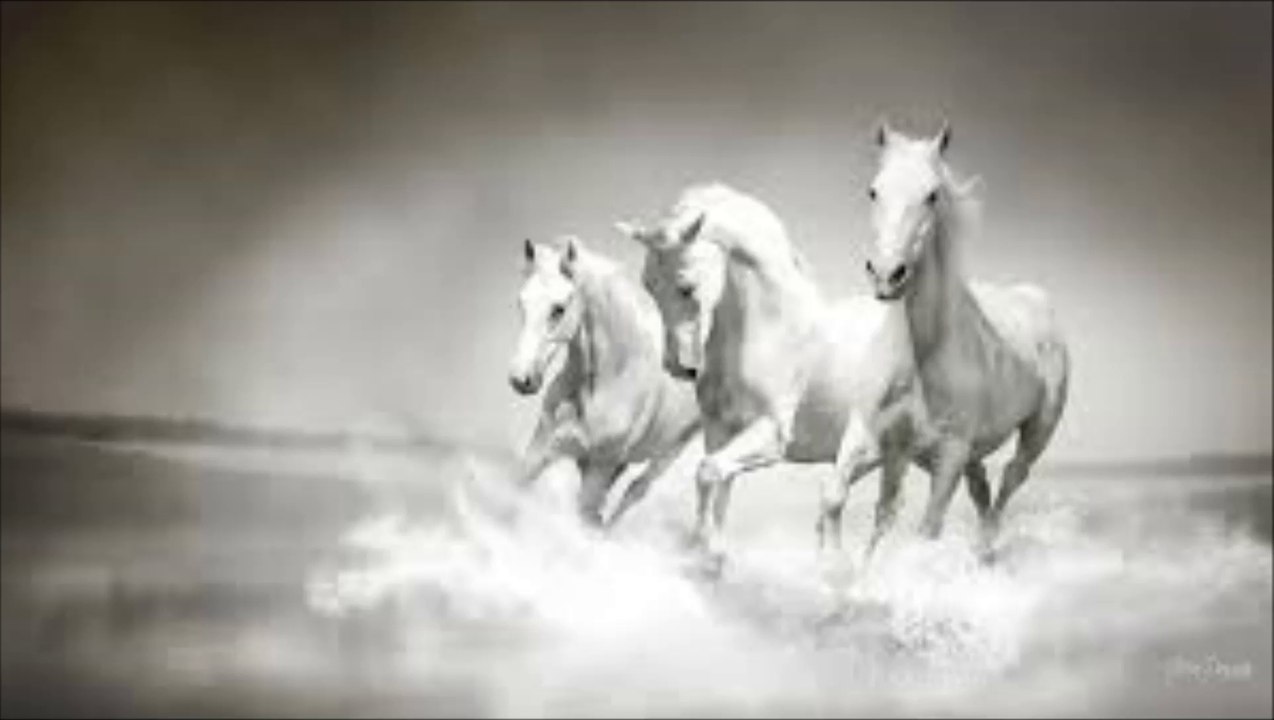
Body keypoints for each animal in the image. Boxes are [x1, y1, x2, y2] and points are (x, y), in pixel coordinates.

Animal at [509, 235, 702, 529]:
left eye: (558, 309)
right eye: (522, 303)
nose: (521, 379)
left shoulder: (599, 469)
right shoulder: (541, 451)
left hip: (669, 452)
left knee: (635, 491)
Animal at [616, 184, 915, 569]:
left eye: (686, 286)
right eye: (649, 286)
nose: (677, 367)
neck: (768, 330)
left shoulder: (771, 434)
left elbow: (707, 473)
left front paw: (708, 549)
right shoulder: (719, 429)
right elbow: (717, 485)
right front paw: (707, 554)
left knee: (882, 514)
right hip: (869, 458)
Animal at [821, 120, 1071, 555]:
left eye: (932, 195)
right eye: (873, 190)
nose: (887, 275)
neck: (922, 357)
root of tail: (1036, 299)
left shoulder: (948, 455)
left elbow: (925, 529)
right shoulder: (876, 439)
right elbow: (842, 502)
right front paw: (840, 567)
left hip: (1036, 432)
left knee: (1009, 481)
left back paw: (985, 551)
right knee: (981, 488)